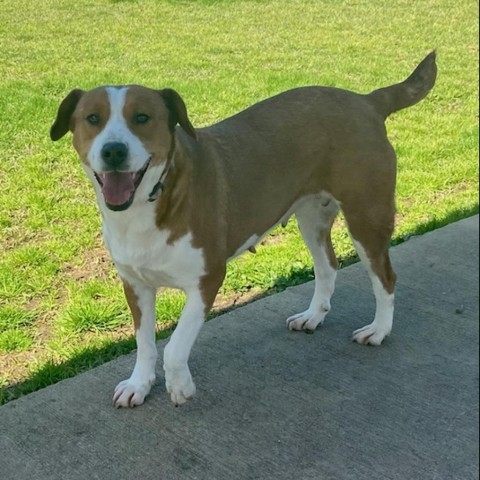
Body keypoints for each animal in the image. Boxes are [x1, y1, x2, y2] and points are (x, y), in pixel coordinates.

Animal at [50, 52, 436, 406]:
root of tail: (366, 100)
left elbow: (174, 346)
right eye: (93, 119)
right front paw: (139, 384)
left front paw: (180, 385)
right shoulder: (135, 284)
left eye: (142, 118)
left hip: (366, 216)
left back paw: (379, 330)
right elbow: (145, 343)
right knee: (328, 266)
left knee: (385, 278)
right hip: (312, 218)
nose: (113, 151)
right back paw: (313, 316)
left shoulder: (207, 279)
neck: (150, 202)